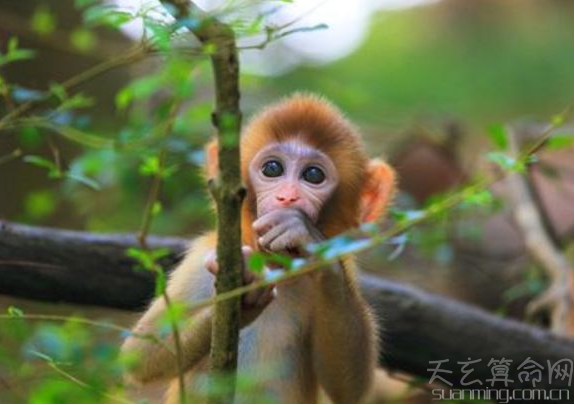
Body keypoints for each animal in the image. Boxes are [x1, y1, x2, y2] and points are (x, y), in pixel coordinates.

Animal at [121, 93, 396, 402]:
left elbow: (350, 388)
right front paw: (238, 297)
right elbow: (142, 351)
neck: (272, 263)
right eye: (272, 169)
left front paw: (303, 236)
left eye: (313, 175)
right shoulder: (200, 260)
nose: (287, 197)